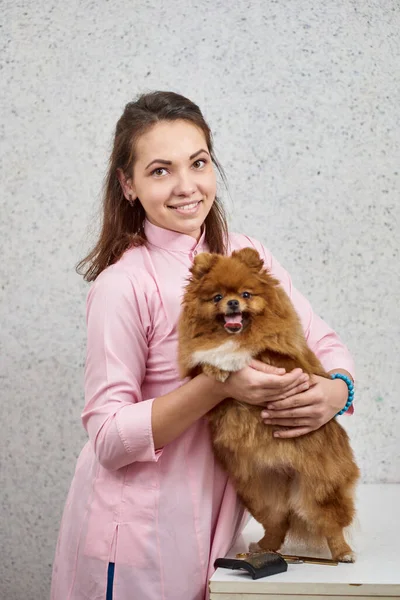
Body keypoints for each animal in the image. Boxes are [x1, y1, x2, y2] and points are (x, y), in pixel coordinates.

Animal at [178, 246, 360, 560]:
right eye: (217, 297)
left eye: (246, 294)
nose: (233, 302)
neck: (235, 334)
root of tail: (284, 474)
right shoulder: (195, 367)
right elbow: (206, 361)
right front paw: (219, 368)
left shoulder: (286, 358)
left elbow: (260, 349)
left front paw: (239, 356)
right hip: (259, 492)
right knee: (279, 521)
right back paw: (264, 547)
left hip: (319, 490)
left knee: (331, 524)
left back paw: (342, 553)